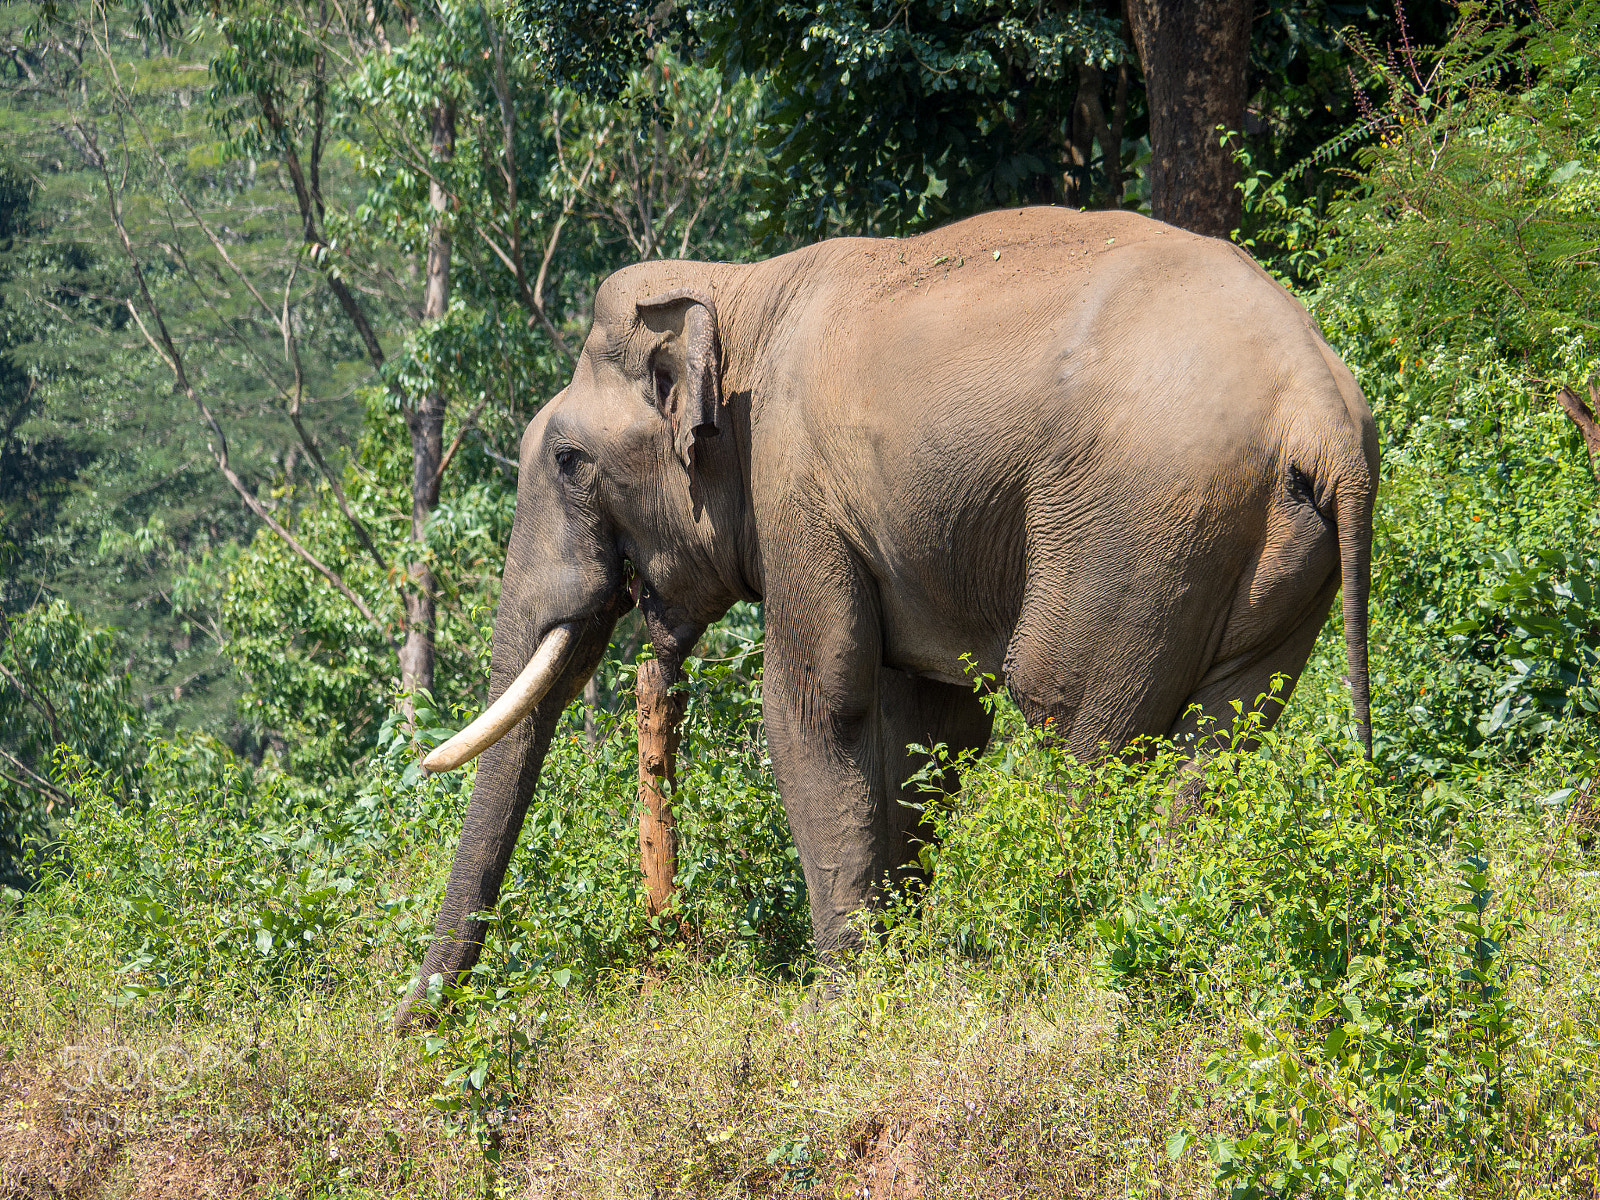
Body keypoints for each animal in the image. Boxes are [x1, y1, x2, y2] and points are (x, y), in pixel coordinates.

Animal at [395, 206, 1377, 1031]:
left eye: (567, 460)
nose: (412, 1027)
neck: (741, 291)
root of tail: (1321, 409)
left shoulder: (794, 487)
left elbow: (817, 709)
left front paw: (833, 1015)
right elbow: (929, 726)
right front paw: (892, 985)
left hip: (1137, 534)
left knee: (1072, 720)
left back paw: (1078, 965)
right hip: (1272, 565)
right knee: (1220, 751)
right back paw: (1172, 945)